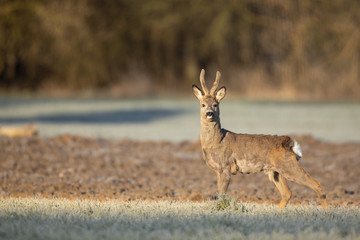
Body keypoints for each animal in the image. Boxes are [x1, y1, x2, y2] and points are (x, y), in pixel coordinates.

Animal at [193, 68, 328, 209]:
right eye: (203, 105)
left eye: (215, 104)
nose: (209, 113)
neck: (216, 141)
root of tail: (290, 143)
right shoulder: (218, 170)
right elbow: (219, 193)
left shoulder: (226, 167)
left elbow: (222, 194)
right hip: (276, 172)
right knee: (287, 193)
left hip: (289, 166)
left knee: (317, 185)